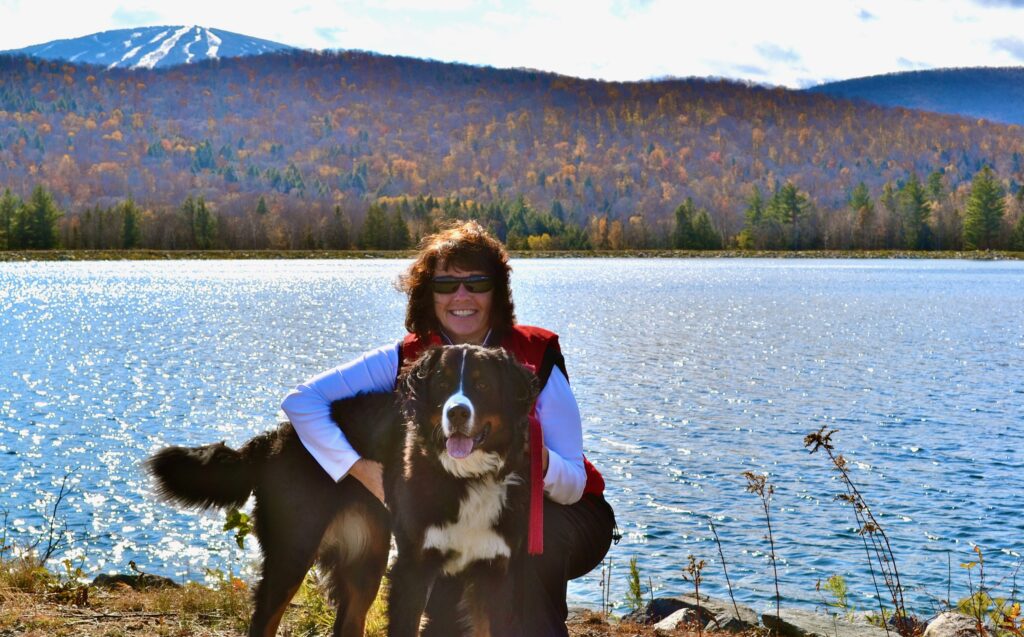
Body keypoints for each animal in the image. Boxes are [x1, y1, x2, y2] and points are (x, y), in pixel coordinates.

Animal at [149, 346, 544, 637]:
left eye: (482, 385)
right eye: (443, 384)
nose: (457, 413)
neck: (464, 478)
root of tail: (275, 438)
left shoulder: (494, 572)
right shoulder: (413, 569)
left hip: (365, 559)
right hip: (292, 551)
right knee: (264, 622)